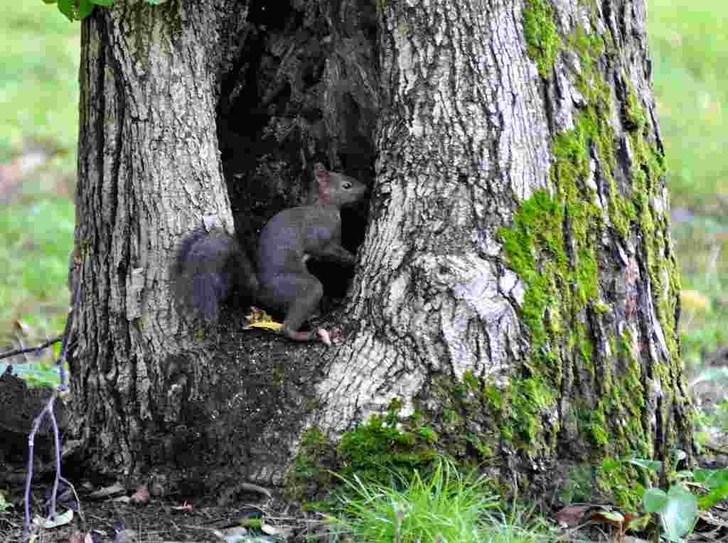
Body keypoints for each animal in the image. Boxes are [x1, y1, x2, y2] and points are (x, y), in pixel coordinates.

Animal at [173, 164, 366, 346]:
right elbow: (325, 251)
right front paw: (353, 258)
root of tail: (260, 291)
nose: (365, 188)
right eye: (346, 185)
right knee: (286, 327)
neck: (324, 208)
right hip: (298, 287)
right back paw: (307, 334)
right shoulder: (319, 237)